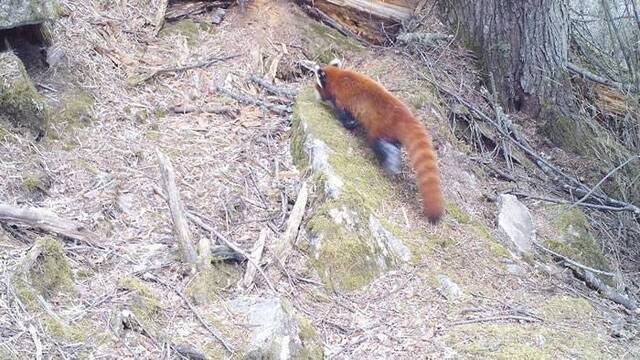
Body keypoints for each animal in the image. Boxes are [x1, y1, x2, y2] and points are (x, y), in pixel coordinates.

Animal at [312, 58, 442, 222]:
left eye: (317, 87)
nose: (315, 95)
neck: (339, 77)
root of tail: (405, 116)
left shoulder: (342, 99)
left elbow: (344, 116)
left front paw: (350, 124)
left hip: (380, 127)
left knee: (380, 145)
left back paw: (389, 163)